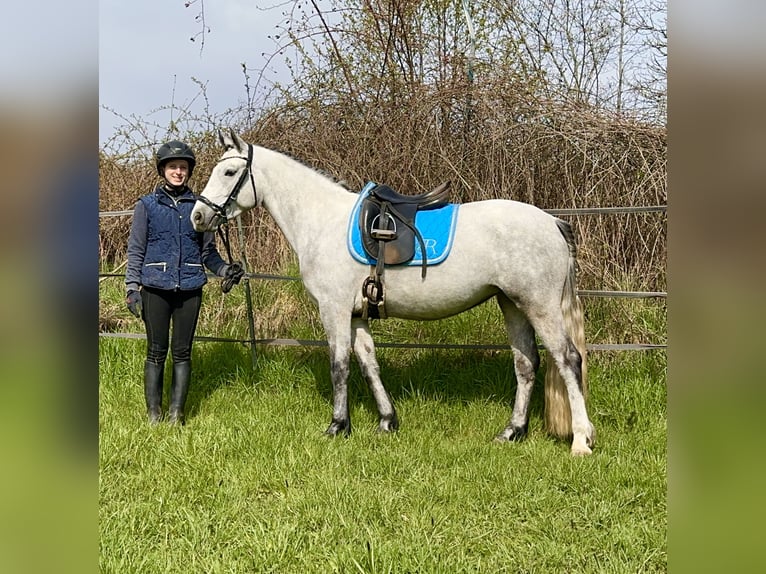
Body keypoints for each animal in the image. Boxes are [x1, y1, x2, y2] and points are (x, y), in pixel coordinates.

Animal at [194, 132, 600, 460]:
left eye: (229, 173)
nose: (198, 216)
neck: (322, 222)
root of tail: (553, 223)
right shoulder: (357, 314)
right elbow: (368, 364)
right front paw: (387, 421)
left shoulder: (333, 309)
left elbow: (339, 365)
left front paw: (337, 426)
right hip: (512, 304)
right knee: (526, 363)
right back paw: (512, 431)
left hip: (539, 305)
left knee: (568, 359)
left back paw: (581, 441)